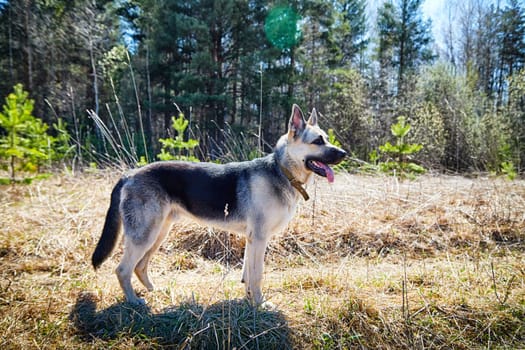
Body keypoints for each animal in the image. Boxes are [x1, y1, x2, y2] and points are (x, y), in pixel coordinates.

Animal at [92, 104, 346, 306]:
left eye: (326, 138)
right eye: (318, 141)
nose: (344, 153)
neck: (282, 171)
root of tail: (129, 174)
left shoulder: (251, 240)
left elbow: (248, 274)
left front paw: (249, 299)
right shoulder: (259, 238)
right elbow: (257, 274)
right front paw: (260, 304)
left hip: (158, 234)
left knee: (140, 266)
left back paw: (153, 290)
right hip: (145, 235)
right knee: (123, 269)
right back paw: (134, 301)